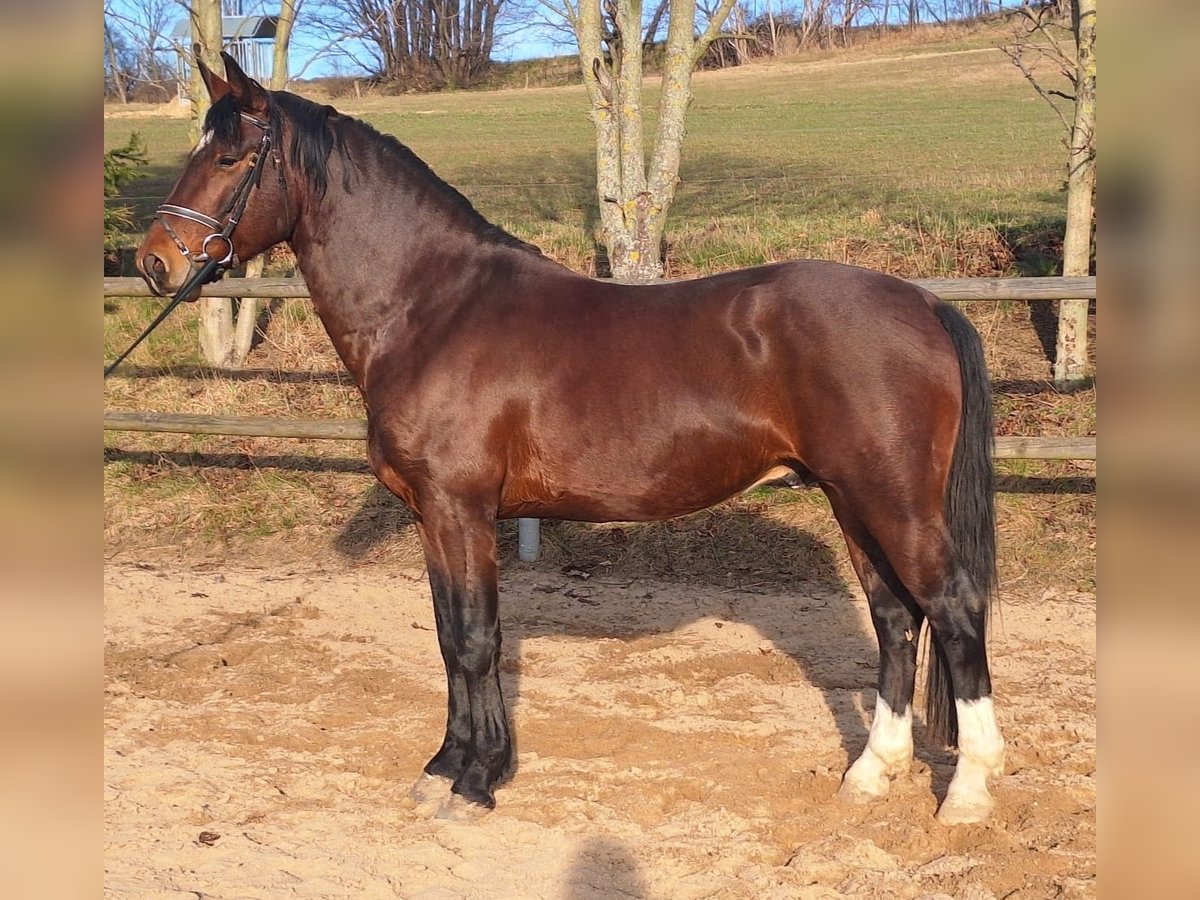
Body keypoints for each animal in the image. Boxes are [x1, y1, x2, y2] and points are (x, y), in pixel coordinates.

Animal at [133, 54, 1003, 825]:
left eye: (229, 156)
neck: (431, 307)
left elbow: (477, 639)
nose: (154, 260)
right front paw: (445, 767)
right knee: (895, 618)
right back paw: (871, 775)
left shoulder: (461, 508)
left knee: (954, 608)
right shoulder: (431, 516)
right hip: (852, 501)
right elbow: (449, 638)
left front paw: (476, 784)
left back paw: (966, 793)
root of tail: (924, 303)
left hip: (893, 502)